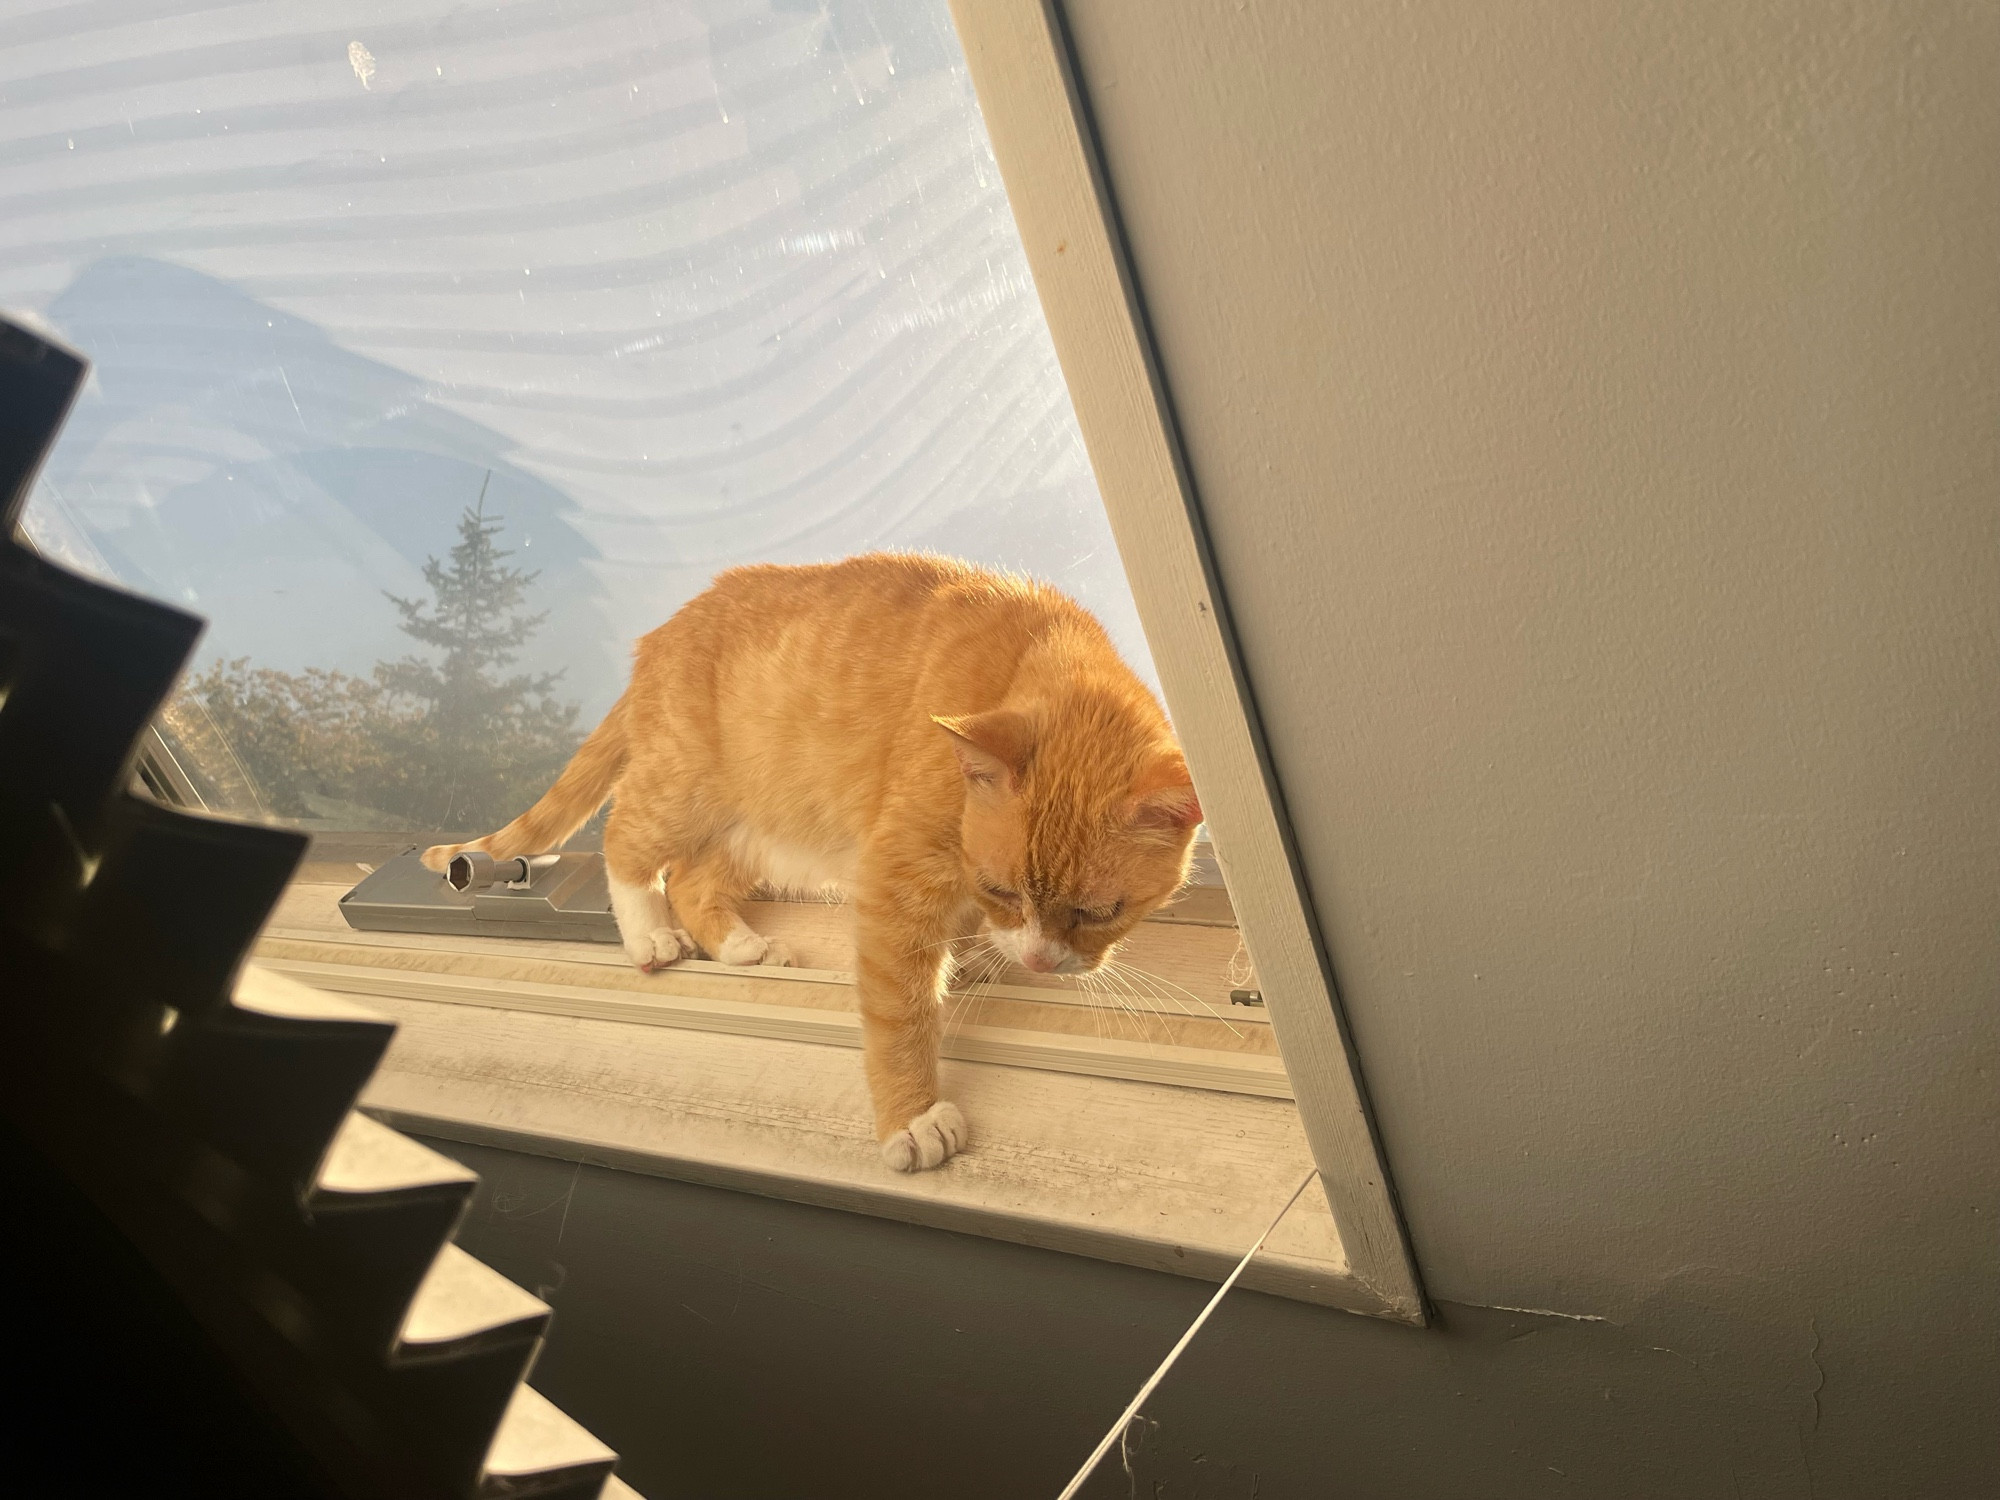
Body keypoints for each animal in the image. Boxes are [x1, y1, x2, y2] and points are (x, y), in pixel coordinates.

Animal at [422, 552, 1192, 1176]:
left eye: (1100, 912)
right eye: (1002, 887)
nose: (1039, 961)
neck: (1027, 662)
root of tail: (659, 637)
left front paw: (976, 955)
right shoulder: (896, 877)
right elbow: (902, 1012)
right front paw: (914, 1116)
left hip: (759, 830)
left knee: (697, 880)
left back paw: (742, 947)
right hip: (681, 786)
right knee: (627, 843)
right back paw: (651, 936)